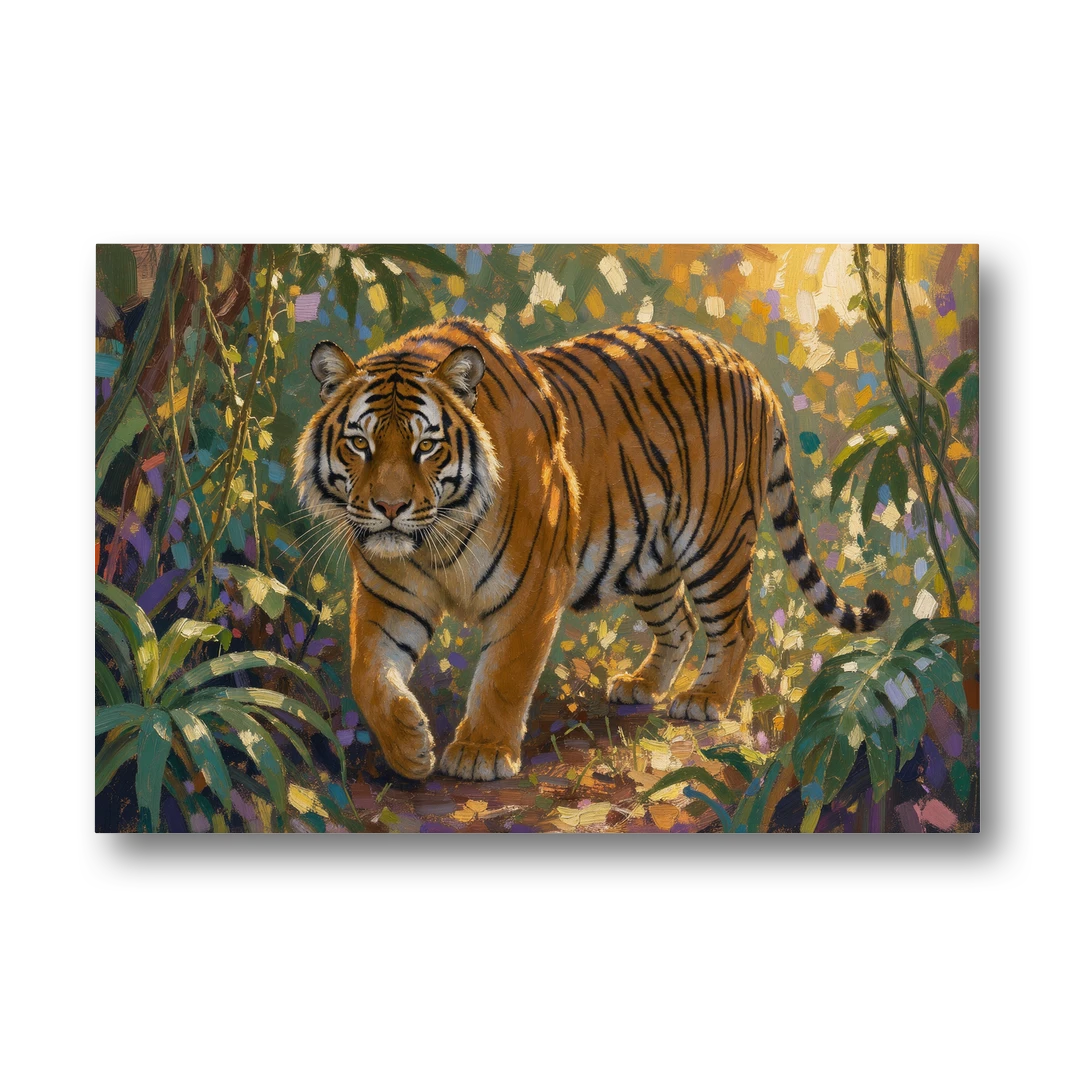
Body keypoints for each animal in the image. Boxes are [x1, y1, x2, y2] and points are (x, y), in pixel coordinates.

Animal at [293, 317, 889, 782]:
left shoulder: (532, 588)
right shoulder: (387, 597)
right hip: (650, 556)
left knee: (736, 625)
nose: (390, 507)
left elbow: (504, 676)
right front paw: (410, 748)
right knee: (680, 623)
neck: (430, 543)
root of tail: (747, 365)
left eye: (426, 446)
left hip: (714, 542)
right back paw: (642, 687)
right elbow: (368, 675)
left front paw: (481, 753)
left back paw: (703, 701)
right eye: (360, 443)